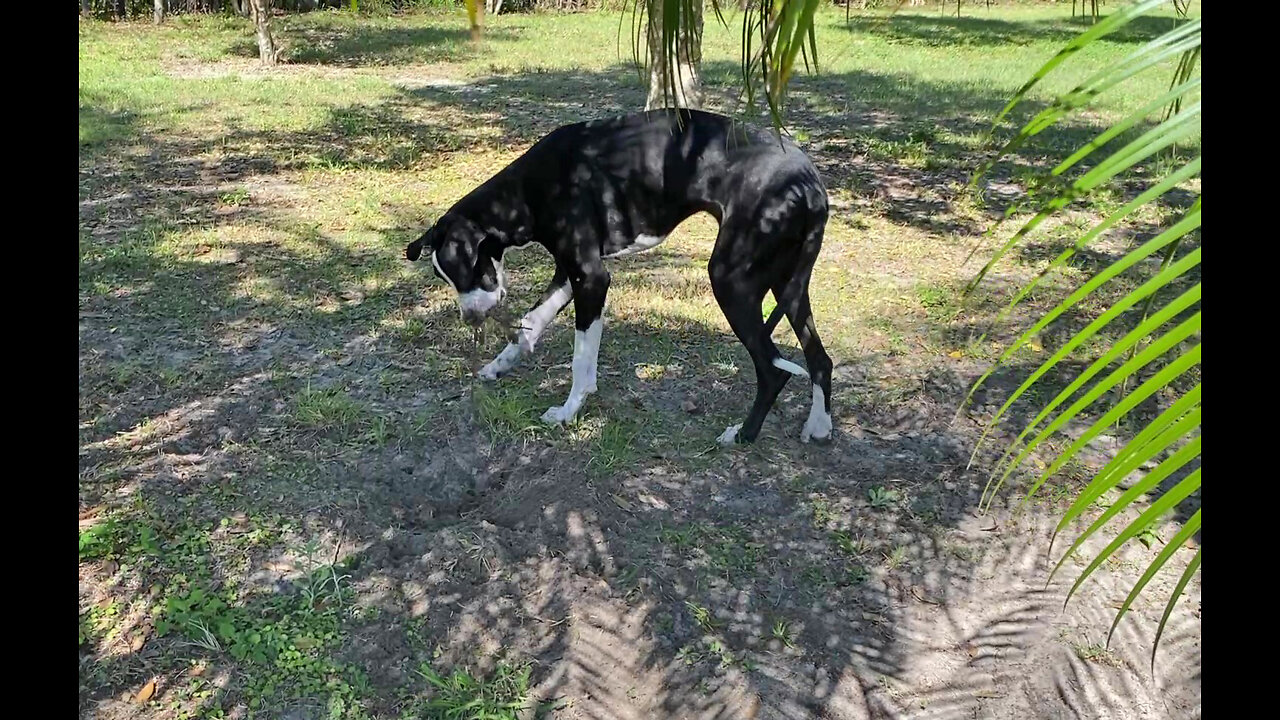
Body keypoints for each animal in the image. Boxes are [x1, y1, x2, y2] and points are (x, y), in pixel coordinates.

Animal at [404, 107, 834, 443]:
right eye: (445, 278)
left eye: (465, 270)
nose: (471, 319)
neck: (529, 190)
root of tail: (810, 179)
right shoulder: (568, 276)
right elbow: (530, 324)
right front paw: (500, 364)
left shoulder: (591, 279)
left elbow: (581, 358)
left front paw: (568, 411)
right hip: (787, 286)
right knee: (820, 359)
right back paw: (819, 425)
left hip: (731, 281)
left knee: (773, 370)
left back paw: (743, 435)